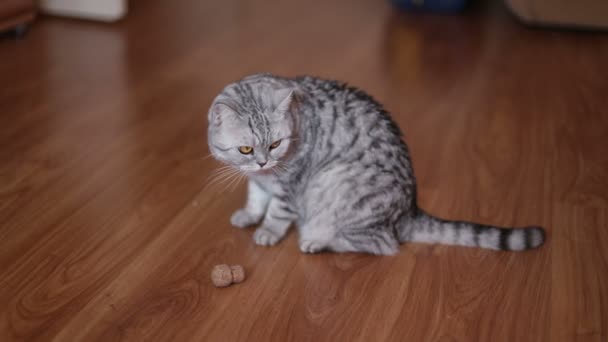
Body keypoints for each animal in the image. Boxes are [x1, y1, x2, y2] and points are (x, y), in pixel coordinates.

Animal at [207, 73, 544, 254]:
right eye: (246, 149)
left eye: (276, 144)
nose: (263, 162)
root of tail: (409, 213)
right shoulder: (259, 181)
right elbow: (255, 199)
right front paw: (248, 215)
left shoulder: (289, 186)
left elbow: (276, 212)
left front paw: (266, 231)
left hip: (334, 184)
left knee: (383, 245)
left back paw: (317, 240)